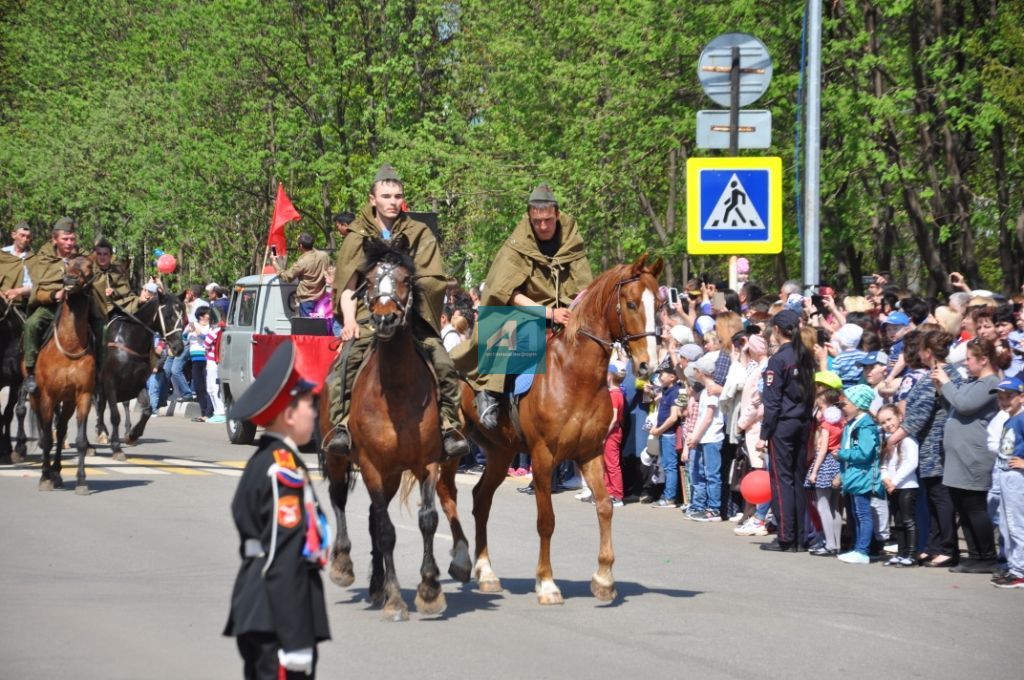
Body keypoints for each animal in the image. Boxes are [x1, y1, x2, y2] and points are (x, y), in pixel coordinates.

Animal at [25, 256, 96, 493]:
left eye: (88, 266)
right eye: (68, 264)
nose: (70, 280)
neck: (70, 345)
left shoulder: (83, 396)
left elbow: (80, 440)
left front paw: (82, 481)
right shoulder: (47, 396)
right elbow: (47, 438)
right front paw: (44, 478)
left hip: (67, 401)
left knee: (62, 428)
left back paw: (56, 471)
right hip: (36, 397)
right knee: (45, 430)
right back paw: (47, 472)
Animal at [95, 288, 186, 458]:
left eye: (182, 315)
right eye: (168, 315)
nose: (179, 348)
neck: (130, 341)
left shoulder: (137, 384)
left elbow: (147, 410)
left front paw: (132, 435)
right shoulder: (110, 383)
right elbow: (115, 415)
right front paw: (116, 447)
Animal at [319, 237, 468, 622]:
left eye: (404, 278)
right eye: (370, 280)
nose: (384, 318)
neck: (397, 390)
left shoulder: (426, 463)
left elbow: (427, 520)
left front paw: (429, 590)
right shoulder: (371, 464)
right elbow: (386, 532)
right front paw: (396, 600)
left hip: (391, 474)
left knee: (374, 515)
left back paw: (376, 586)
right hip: (343, 461)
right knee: (340, 500)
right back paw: (344, 566)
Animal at [458, 256, 663, 606]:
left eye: (660, 305)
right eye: (632, 304)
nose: (649, 365)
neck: (575, 375)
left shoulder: (590, 452)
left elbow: (605, 506)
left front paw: (604, 578)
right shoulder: (543, 456)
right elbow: (546, 521)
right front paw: (547, 583)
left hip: (500, 453)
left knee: (480, 499)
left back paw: (486, 572)